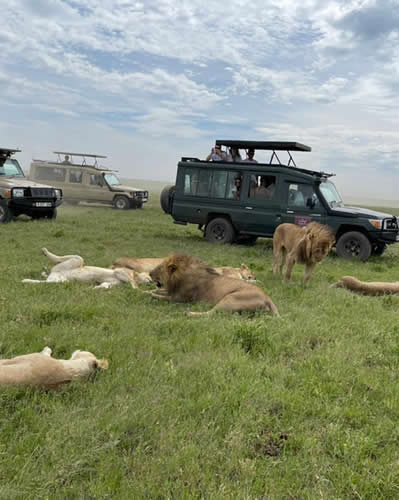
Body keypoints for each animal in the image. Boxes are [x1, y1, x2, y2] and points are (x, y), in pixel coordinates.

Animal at [23, 247, 152, 290]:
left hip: (61, 280)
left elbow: (105, 285)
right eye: (150, 277)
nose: (152, 282)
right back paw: (45, 252)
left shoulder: (112, 283)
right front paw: (136, 287)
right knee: (65, 257)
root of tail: (53, 275)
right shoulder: (121, 271)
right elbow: (132, 281)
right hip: (77, 260)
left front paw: (95, 288)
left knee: (45, 282)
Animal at [148, 254, 280, 316]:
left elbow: (160, 296)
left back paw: (189, 313)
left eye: (159, 268)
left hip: (230, 299)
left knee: (212, 314)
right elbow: (158, 291)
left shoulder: (179, 298)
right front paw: (148, 291)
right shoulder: (173, 291)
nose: (149, 273)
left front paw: (150, 294)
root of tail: (268, 298)